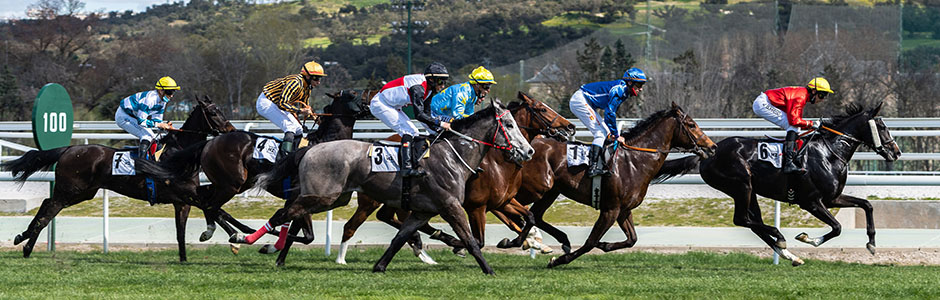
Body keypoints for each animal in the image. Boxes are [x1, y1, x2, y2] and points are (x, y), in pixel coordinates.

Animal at [2, 96, 237, 260]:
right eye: (213, 112)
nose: (231, 129)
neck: (178, 154)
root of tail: (68, 149)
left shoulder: (183, 200)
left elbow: (184, 230)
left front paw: (187, 256)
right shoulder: (184, 194)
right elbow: (213, 209)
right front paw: (234, 238)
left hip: (82, 193)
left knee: (46, 204)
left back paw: (23, 239)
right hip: (70, 190)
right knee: (49, 209)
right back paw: (26, 244)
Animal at [232, 99, 532, 276]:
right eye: (508, 124)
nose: (528, 151)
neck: (452, 156)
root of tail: (310, 149)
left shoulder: (423, 211)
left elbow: (401, 237)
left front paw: (380, 265)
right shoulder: (451, 206)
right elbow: (471, 241)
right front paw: (488, 269)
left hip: (333, 198)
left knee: (294, 214)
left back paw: (276, 253)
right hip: (324, 195)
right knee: (284, 213)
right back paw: (244, 239)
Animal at [334, 92, 576, 264]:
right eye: (541, 108)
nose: (570, 126)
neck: (498, 160)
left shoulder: (503, 201)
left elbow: (529, 218)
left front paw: (527, 242)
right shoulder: (478, 206)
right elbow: (481, 238)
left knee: (390, 217)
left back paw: (425, 251)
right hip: (372, 200)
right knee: (353, 225)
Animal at [510, 103, 716, 268]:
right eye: (691, 125)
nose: (712, 147)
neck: (634, 161)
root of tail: (528, 144)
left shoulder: (624, 210)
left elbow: (632, 239)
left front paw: (605, 245)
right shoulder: (610, 209)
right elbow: (590, 242)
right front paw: (559, 260)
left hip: (549, 191)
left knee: (534, 214)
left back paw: (525, 240)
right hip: (533, 188)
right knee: (516, 207)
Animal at [656, 102, 900, 264]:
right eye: (882, 127)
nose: (896, 152)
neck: (829, 152)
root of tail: (708, 154)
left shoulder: (832, 198)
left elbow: (866, 204)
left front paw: (871, 244)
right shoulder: (811, 202)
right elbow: (838, 227)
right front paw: (807, 238)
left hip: (749, 191)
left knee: (752, 222)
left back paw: (787, 253)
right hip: (741, 185)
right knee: (742, 219)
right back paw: (781, 238)